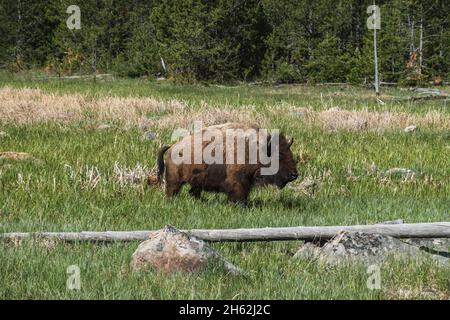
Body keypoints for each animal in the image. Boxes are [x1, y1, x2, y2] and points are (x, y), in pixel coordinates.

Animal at [152, 122, 298, 202]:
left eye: (290, 153)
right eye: (279, 155)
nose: (294, 174)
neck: (257, 149)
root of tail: (172, 146)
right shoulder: (238, 181)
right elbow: (238, 195)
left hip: (196, 182)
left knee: (193, 192)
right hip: (174, 181)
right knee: (172, 192)